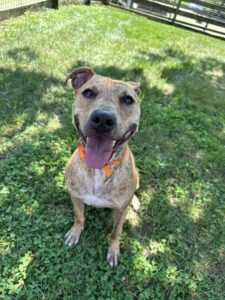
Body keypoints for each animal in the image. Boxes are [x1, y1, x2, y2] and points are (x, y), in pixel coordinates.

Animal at [63, 68, 141, 268]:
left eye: (127, 99)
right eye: (88, 93)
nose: (103, 119)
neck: (99, 170)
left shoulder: (121, 210)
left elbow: (116, 231)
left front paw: (113, 251)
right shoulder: (75, 196)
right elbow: (79, 217)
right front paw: (75, 232)